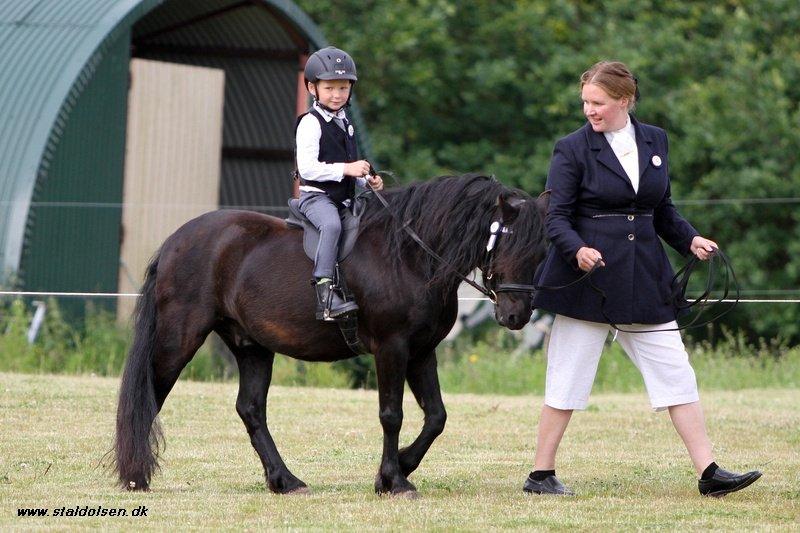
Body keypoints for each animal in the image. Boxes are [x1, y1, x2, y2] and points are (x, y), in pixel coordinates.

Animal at [114, 174, 552, 494]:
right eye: (506, 244)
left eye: (541, 252)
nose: (516, 316)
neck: (410, 256)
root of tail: (176, 241)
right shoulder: (392, 349)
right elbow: (392, 415)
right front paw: (393, 481)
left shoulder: (422, 351)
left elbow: (436, 417)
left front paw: (399, 467)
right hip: (180, 337)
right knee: (152, 393)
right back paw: (136, 475)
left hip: (252, 346)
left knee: (251, 410)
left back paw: (285, 481)